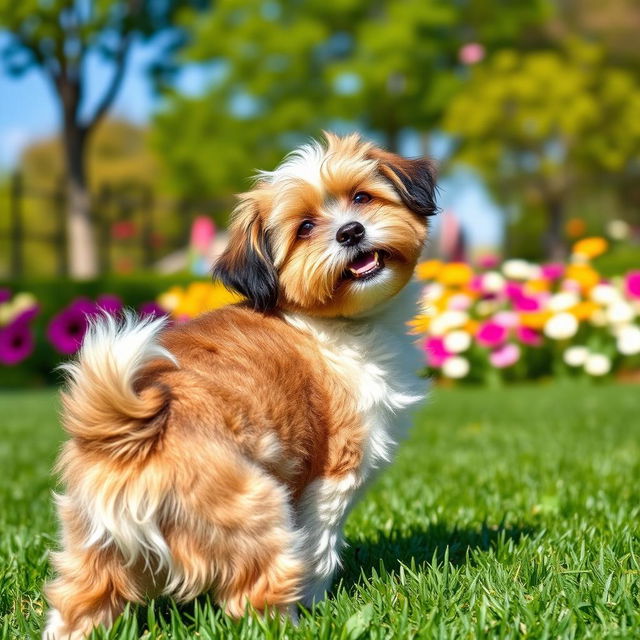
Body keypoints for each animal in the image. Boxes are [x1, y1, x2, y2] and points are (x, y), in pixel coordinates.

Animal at [42, 132, 438, 636]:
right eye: (305, 228)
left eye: (362, 198)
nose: (350, 232)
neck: (323, 319)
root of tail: (130, 433)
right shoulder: (334, 475)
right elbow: (321, 546)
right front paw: (317, 600)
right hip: (254, 505)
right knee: (257, 589)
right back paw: (289, 622)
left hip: (93, 542)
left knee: (80, 601)